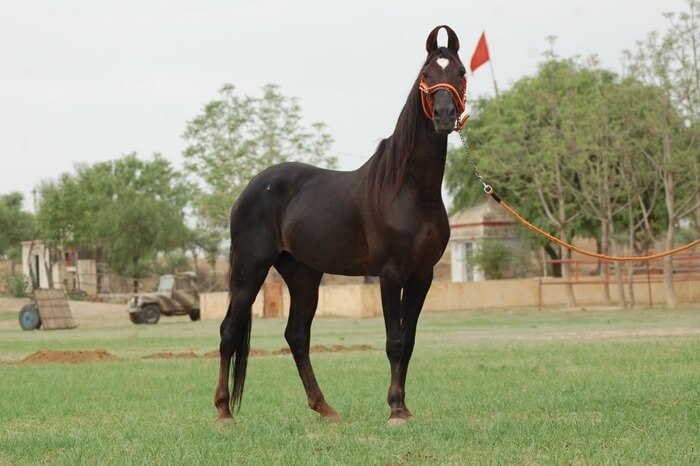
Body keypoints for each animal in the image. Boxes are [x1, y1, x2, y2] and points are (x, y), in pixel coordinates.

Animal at [215, 25, 468, 425]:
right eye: (426, 75)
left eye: (460, 72)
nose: (444, 115)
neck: (408, 190)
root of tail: (250, 189)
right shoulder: (391, 274)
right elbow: (394, 341)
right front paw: (396, 408)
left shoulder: (422, 275)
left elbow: (409, 341)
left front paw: (403, 405)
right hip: (248, 269)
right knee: (229, 331)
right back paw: (224, 411)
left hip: (303, 274)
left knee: (297, 335)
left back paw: (325, 408)